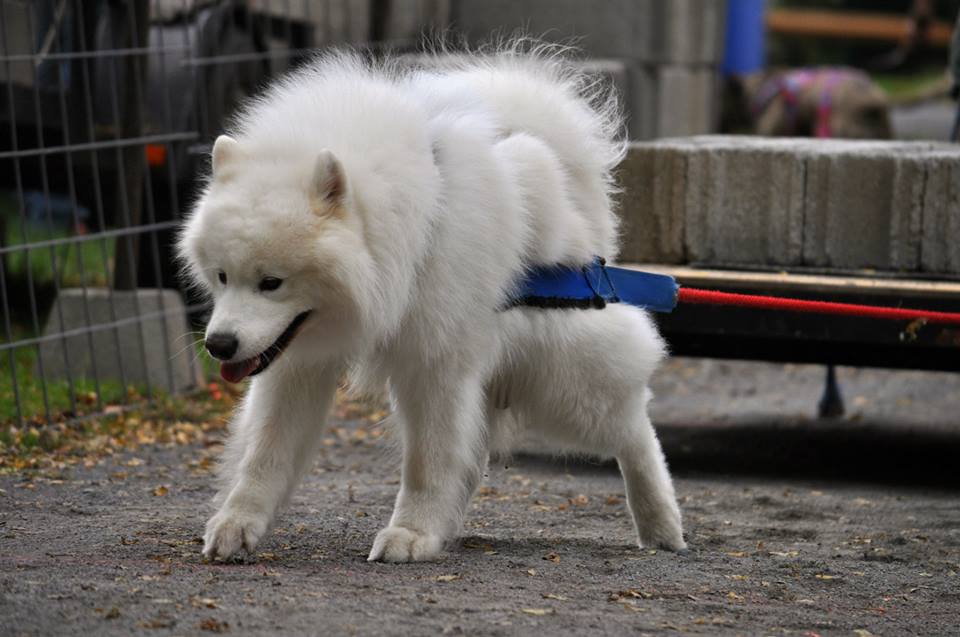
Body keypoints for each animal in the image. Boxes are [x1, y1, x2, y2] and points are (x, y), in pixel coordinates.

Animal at [180, 46, 688, 560]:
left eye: (272, 282)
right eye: (223, 276)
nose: (219, 345)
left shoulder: (434, 361)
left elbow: (427, 459)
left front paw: (411, 533)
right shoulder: (298, 364)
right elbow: (265, 453)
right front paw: (237, 523)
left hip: (565, 382)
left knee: (633, 430)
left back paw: (661, 525)